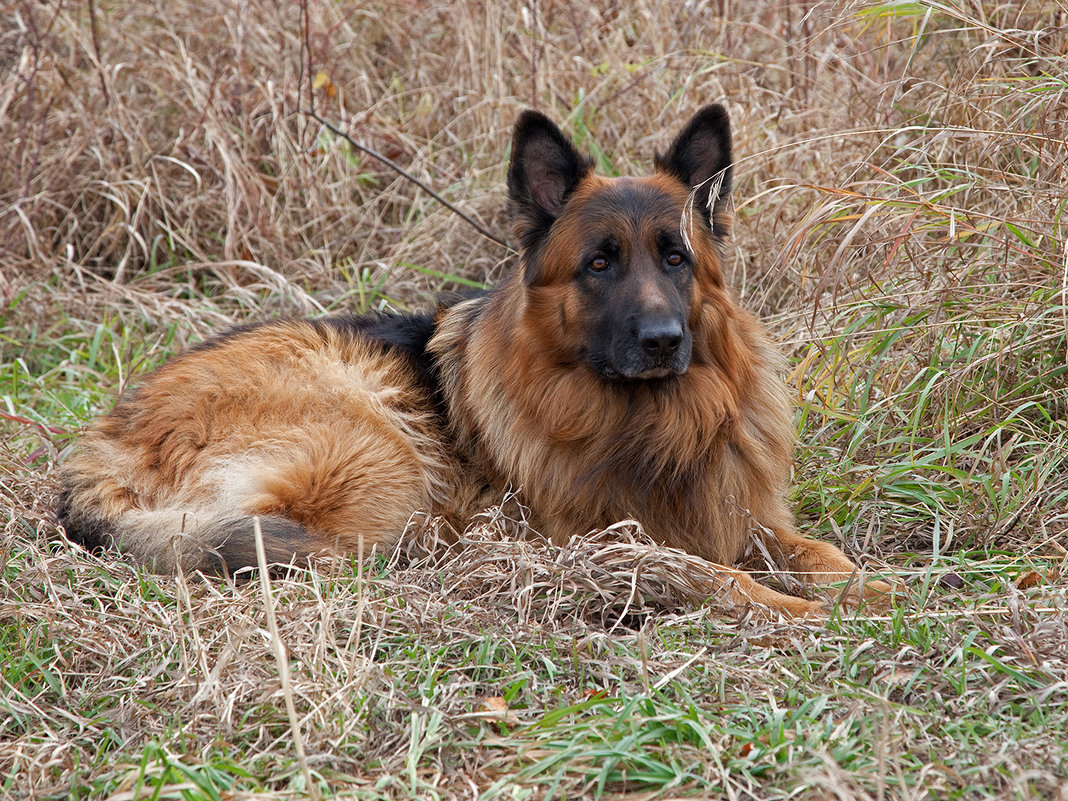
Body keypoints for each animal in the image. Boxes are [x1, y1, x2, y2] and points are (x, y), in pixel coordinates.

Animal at [60, 106, 892, 619]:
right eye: (598, 263)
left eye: (676, 258)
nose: (663, 340)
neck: (648, 421)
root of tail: (102, 444)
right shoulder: (606, 540)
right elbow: (719, 575)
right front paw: (792, 609)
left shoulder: (744, 512)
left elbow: (821, 551)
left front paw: (876, 591)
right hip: (377, 452)